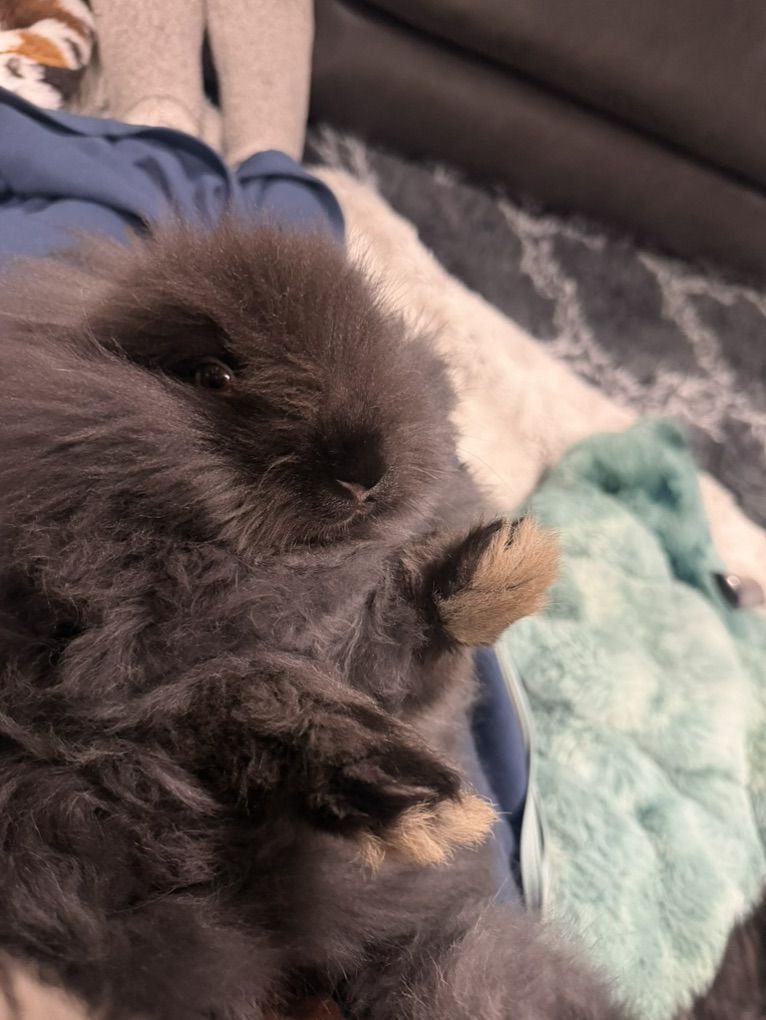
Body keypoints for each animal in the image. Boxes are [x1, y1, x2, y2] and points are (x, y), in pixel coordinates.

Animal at [0, 223, 629, 1020]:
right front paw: (416, 806)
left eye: (382, 340)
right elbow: (263, 695)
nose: (364, 470)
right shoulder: (124, 696)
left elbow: (418, 639)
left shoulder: (383, 669)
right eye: (213, 376)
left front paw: (506, 566)